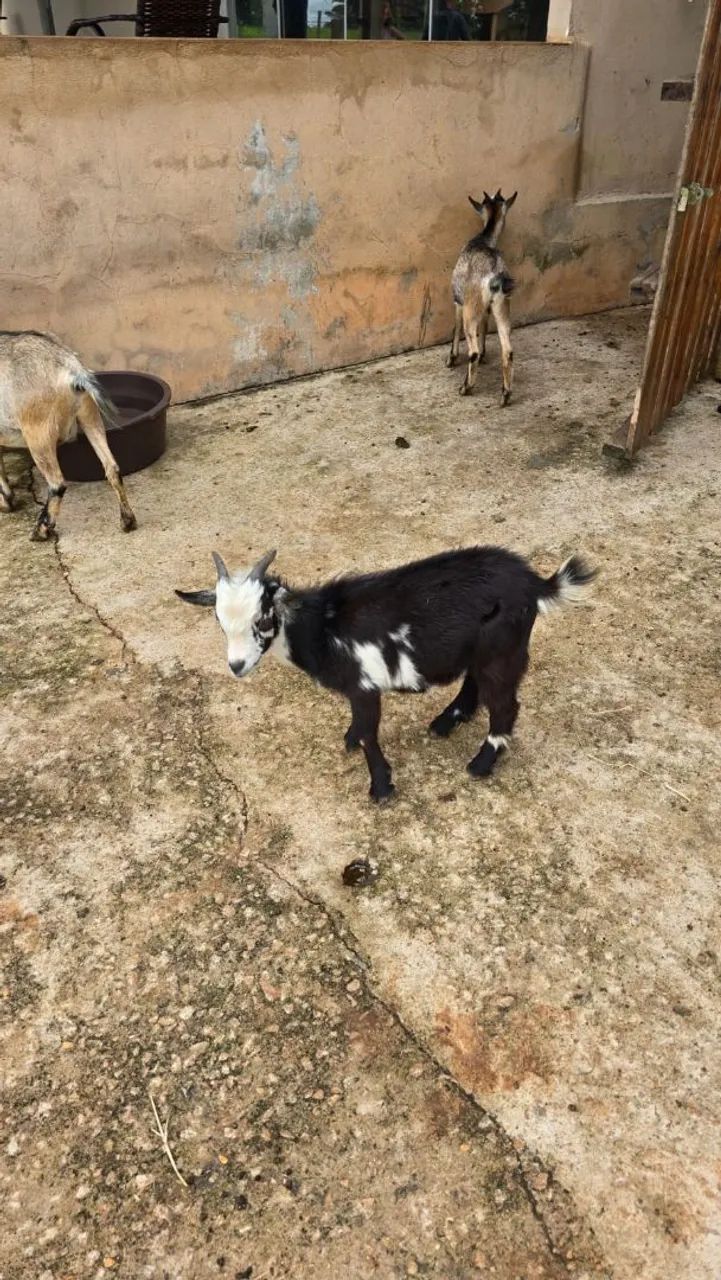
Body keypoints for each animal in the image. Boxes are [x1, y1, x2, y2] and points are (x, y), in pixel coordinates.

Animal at [0, 331, 137, 540]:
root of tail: (70, 366)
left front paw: (5, 502)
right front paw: (7, 499)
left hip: (38, 432)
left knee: (57, 484)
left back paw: (41, 530)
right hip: (89, 414)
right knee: (112, 467)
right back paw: (127, 520)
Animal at [176, 545, 595, 804]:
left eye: (262, 620)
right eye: (219, 622)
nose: (237, 666)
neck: (321, 627)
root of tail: (535, 584)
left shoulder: (363, 686)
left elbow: (368, 734)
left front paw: (381, 787)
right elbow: (359, 730)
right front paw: (350, 742)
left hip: (502, 651)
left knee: (505, 706)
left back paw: (480, 763)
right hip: (481, 648)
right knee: (474, 682)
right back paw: (447, 721)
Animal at [448, 189, 517, 406]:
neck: (482, 239)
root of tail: (495, 274)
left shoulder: (459, 300)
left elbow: (456, 327)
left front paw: (451, 358)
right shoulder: (486, 308)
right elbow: (485, 326)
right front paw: (486, 354)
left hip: (472, 306)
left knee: (472, 350)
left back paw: (465, 387)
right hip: (502, 304)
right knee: (508, 350)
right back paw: (505, 394)